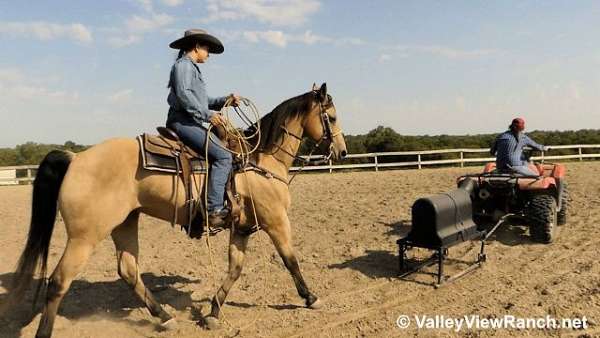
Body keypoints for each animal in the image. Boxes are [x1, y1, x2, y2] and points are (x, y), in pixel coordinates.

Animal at [5, 83, 346, 336]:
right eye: (331, 116)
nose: (341, 152)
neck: (260, 160)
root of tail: (76, 158)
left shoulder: (243, 228)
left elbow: (235, 269)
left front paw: (213, 312)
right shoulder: (276, 221)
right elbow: (291, 260)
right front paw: (311, 298)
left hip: (125, 223)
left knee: (128, 270)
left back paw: (165, 317)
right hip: (84, 237)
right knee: (59, 281)